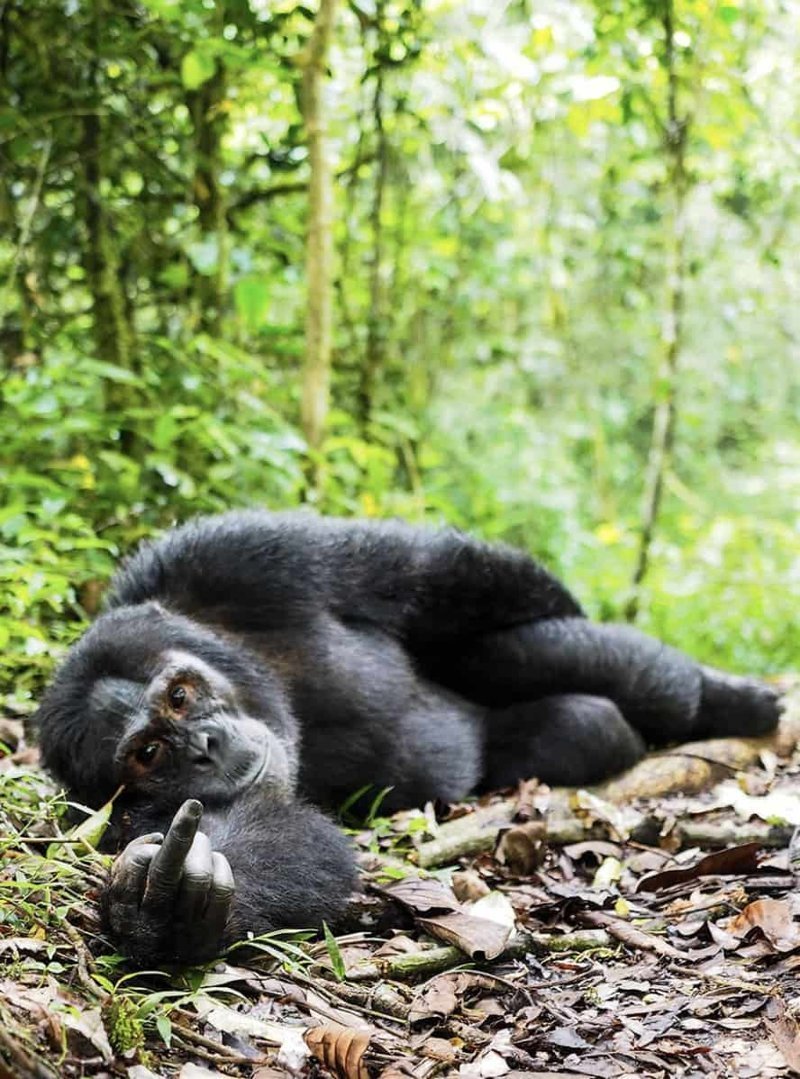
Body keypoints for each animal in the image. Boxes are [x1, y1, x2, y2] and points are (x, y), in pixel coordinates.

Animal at [34, 509, 777, 966]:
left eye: (181, 696)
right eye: (149, 753)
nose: (204, 746)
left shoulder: (237, 556)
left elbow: (429, 571)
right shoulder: (126, 816)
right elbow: (280, 835)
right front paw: (171, 903)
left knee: (516, 650)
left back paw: (727, 702)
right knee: (582, 724)